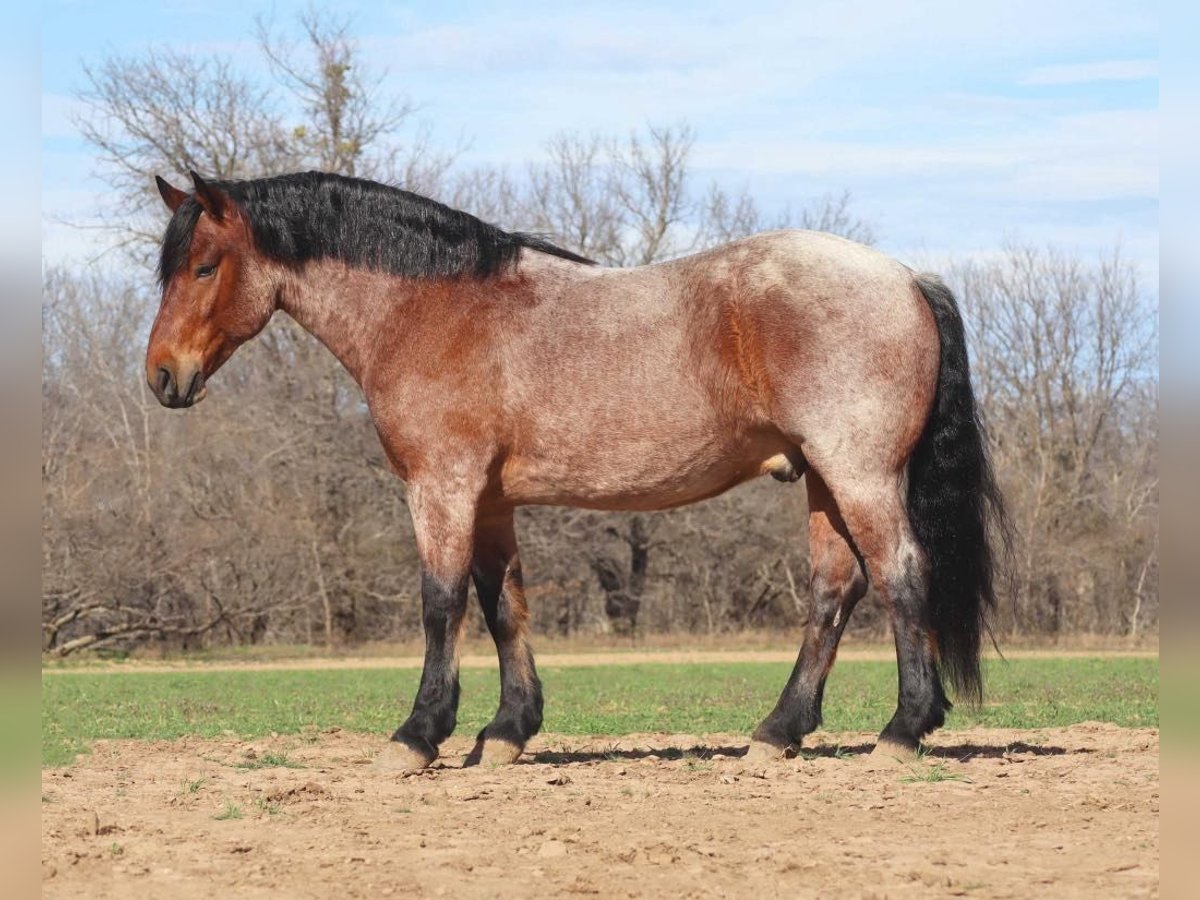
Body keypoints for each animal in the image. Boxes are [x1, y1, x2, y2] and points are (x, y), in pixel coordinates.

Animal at [145, 170, 1003, 777]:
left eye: (205, 266)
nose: (161, 377)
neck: (433, 311)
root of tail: (905, 276)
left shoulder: (442, 488)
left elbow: (440, 604)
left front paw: (419, 735)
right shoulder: (489, 500)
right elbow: (504, 606)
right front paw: (505, 733)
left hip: (859, 473)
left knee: (901, 575)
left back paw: (902, 731)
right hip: (825, 479)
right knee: (835, 591)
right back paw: (777, 732)